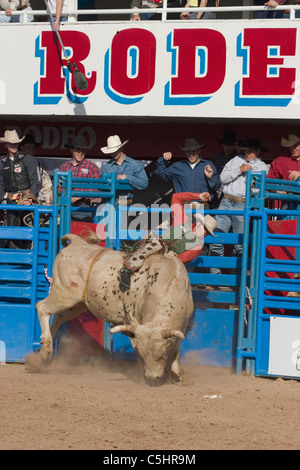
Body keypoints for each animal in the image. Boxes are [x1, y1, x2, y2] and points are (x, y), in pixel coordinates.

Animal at [35, 233, 195, 384]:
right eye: (143, 355)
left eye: (162, 354)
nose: (152, 377)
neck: (168, 282)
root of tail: (76, 243)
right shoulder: (131, 321)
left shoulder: (182, 326)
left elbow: (175, 350)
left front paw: (177, 376)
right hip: (63, 294)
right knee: (42, 307)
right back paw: (46, 349)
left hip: (77, 304)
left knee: (58, 318)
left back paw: (43, 349)